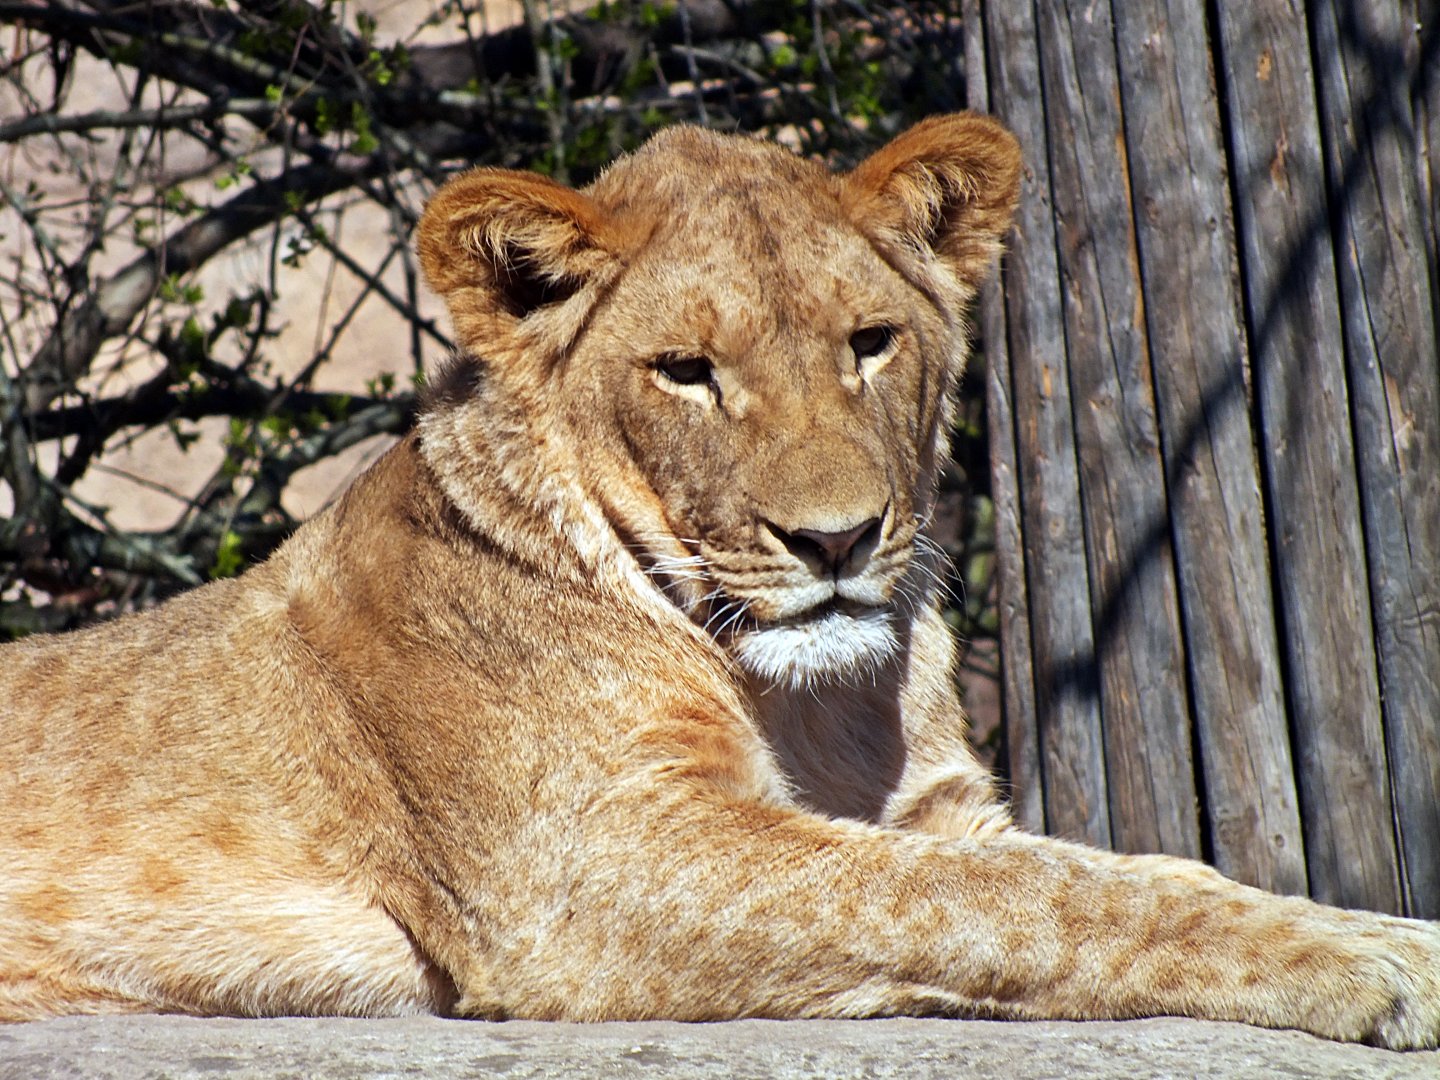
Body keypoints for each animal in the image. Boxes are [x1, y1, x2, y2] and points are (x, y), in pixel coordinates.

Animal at [2, 114, 1438, 1048]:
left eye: (871, 344)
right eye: (686, 372)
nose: (837, 541)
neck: (816, 700)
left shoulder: (940, 808)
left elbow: (1141, 876)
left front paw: (1370, 934)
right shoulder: (598, 864)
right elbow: (1011, 902)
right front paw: (1369, 965)